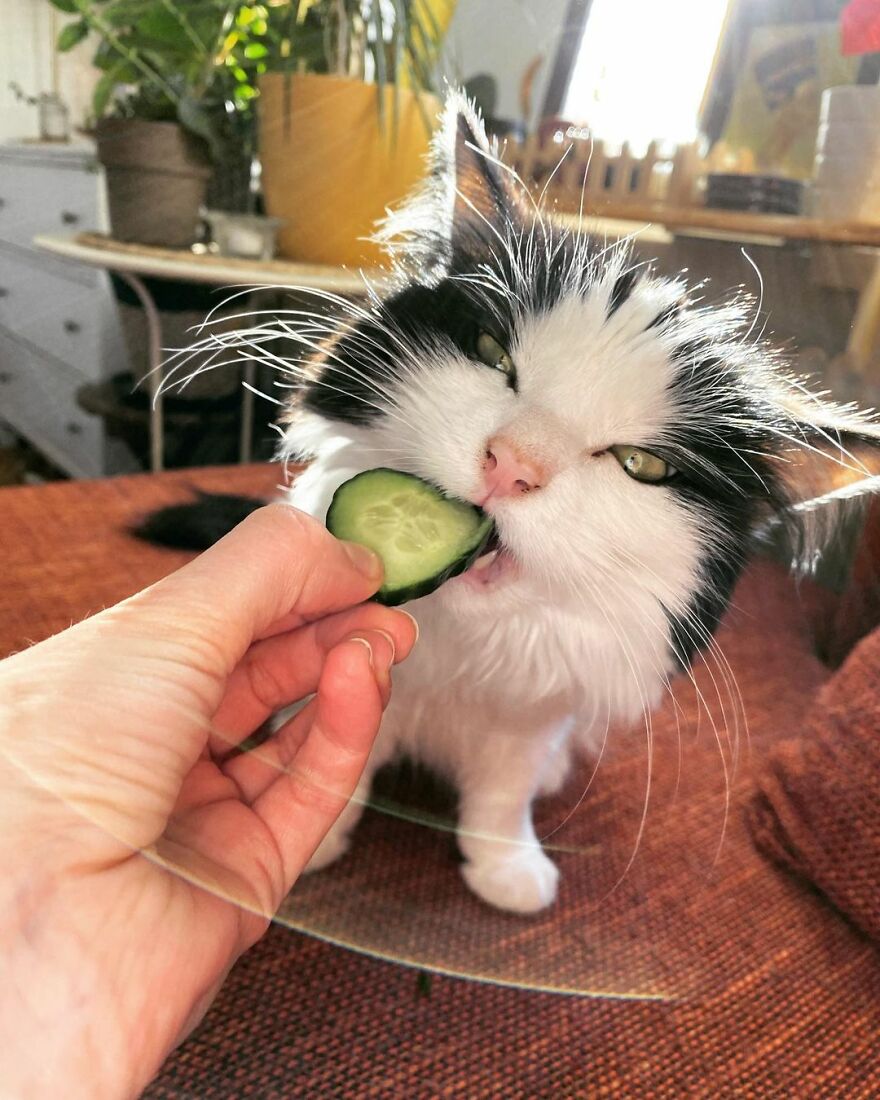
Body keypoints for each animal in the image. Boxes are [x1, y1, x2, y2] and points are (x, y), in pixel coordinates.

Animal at [156, 94, 880, 915]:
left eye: (641, 465)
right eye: (492, 354)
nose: (512, 467)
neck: (462, 653)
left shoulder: (531, 718)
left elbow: (502, 797)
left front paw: (507, 870)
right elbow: (333, 752)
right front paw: (318, 840)